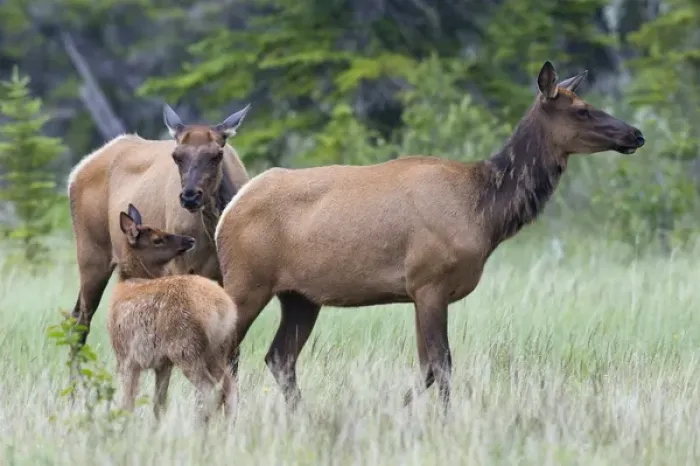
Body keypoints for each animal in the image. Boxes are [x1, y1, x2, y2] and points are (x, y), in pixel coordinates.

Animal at [67, 104, 250, 350]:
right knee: (81, 319)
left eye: (217, 155)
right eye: (176, 156)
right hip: (91, 253)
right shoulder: (180, 266)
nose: (190, 196)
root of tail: (76, 171)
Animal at [108, 203, 238, 424]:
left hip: (186, 347)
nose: (189, 240)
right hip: (217, 349)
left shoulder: (126, 357)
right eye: (157, 239)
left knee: (208, 388)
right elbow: (159, 402)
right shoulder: (163, 363)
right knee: (229, 387)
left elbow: (128, 401)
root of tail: (222, 309)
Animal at [213, 61, 646, 413]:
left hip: (301, 296)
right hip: (248, 281)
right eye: (582, 109)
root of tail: (228, 212)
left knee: (279, 358)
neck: (486, 214)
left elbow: (429, 367)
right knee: (225, 348)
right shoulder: (429, 282)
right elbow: (441, 364)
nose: (636, 134)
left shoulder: (425, 291)